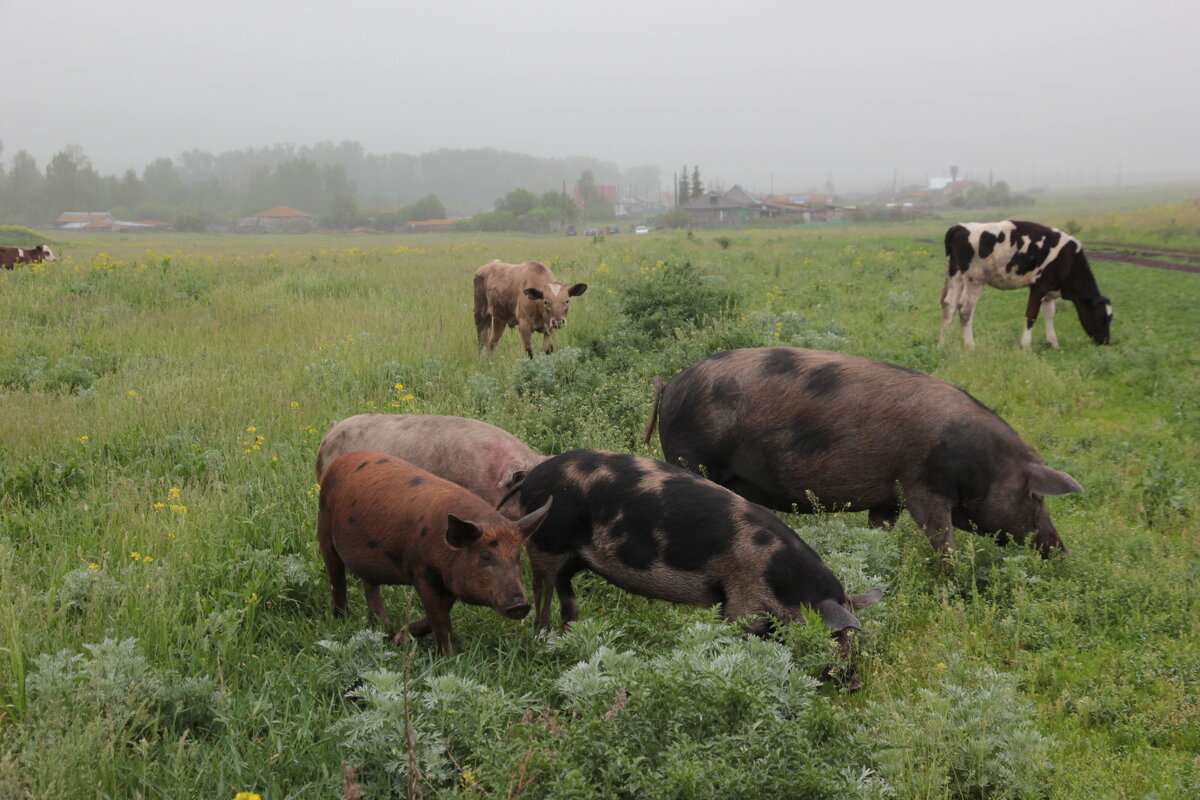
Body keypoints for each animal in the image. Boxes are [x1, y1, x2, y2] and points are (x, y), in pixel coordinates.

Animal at [312, 448, 549, 652]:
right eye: (485, 557)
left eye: (518, 557)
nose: (520, 605)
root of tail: (343, 459)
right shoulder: (421, 572)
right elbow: (440, 618)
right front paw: (447, 657)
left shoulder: (450, 580)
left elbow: (442, 611)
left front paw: (400, 638)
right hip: (324, 528)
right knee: (337, 579)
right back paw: (341, 619)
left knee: (369, 584)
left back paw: (383, 628)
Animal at [496, 450, 883, 690]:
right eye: (837, 636)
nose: (855, 683)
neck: (781, 581)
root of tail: (532, 477)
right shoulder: (742, 599)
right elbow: (739, 633)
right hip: (546, 540)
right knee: (542, 585)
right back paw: (543, 637)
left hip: (574, 554)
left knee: (565, 589)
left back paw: (571, 632)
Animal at [643, 347, 1084, 561]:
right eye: (1037, 497)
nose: (1063, 552)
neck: (985, 466)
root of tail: (671, 384)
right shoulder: (923, 488)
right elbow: (943, 540)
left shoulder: (888, 498)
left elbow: (880, 530)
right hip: (691, 458)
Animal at [936, 219, 1113, 347]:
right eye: (1101, 317)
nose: (1105, 341)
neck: (1068, 260)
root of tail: (960, 227)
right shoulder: (1039, 286)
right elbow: (1031, 315)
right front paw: (1026, 345)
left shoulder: (1050, 291)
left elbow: (1049, 314)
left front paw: (1053, 343)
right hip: (975, 279)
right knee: (965, 310)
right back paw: (970, 346)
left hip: (955, 275)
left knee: (949, 307)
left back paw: (942, 344)